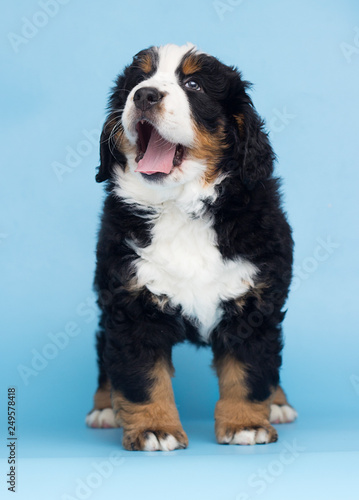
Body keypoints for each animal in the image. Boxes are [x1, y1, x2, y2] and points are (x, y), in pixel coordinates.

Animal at [86, 42, 298, 450]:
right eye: (138, 81)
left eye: (194, 84)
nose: (145, 95)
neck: (181, 206)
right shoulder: (130, 304)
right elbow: (143, 379)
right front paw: (155, 428)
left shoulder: (254, 303)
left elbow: (249, 372)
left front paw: (246, 424)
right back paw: (105, 408)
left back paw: (279, 402)